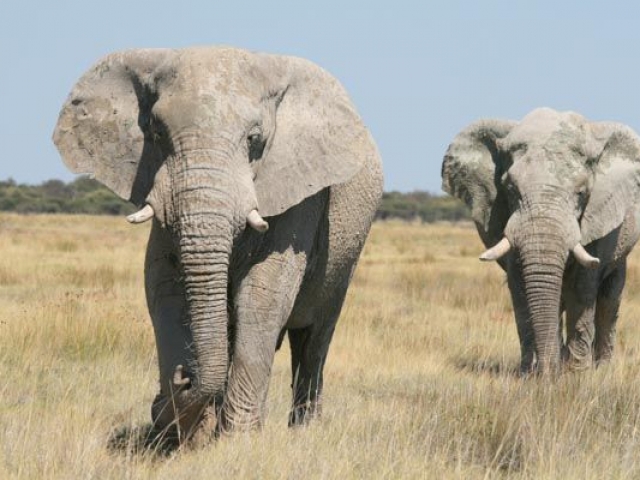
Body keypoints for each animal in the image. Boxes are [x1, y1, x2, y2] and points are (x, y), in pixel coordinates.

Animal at [52, 47, 382, 440]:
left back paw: (304, 431)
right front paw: (185, 434)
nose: (182, 378)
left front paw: (237, 439)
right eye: (156, 132)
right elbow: (163, 285)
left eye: (254, 139)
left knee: (313, 338)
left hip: (346, 255)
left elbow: (264, 293)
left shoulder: (299, 192)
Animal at [442, 109, 640, 376]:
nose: (548, 375)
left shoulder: (599, 217)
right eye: (510, 190)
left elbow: (583, 286)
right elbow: (520, 286)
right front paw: (530, 374)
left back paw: (600, 369)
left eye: (581, 194)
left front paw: (577, 374)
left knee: (609, 298)